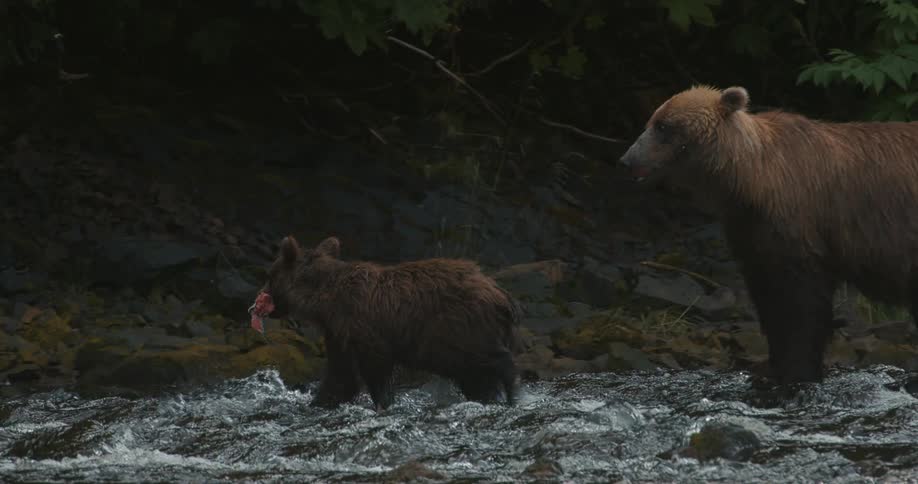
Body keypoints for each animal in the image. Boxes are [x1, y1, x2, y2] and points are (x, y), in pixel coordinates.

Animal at [249, 235, 523, 410]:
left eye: (270, 275)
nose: (256, 302)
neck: (325, 302)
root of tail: (501, 294)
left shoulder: (365, 329)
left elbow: (375, 370)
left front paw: (383, 403)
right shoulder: (339, 334)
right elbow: (341, 377)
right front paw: (318, 402)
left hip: (461, 327)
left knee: (492, 359)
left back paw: (512, 395)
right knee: (475, 376)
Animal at [619, 84, 918, 385]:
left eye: (663, 126)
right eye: (651, 121)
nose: (627, 160)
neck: (750, 181)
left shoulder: (797, 222)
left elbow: (799, 302)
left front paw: (797, 368)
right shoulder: (750, 229)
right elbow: (768, 295)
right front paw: (773, 365)